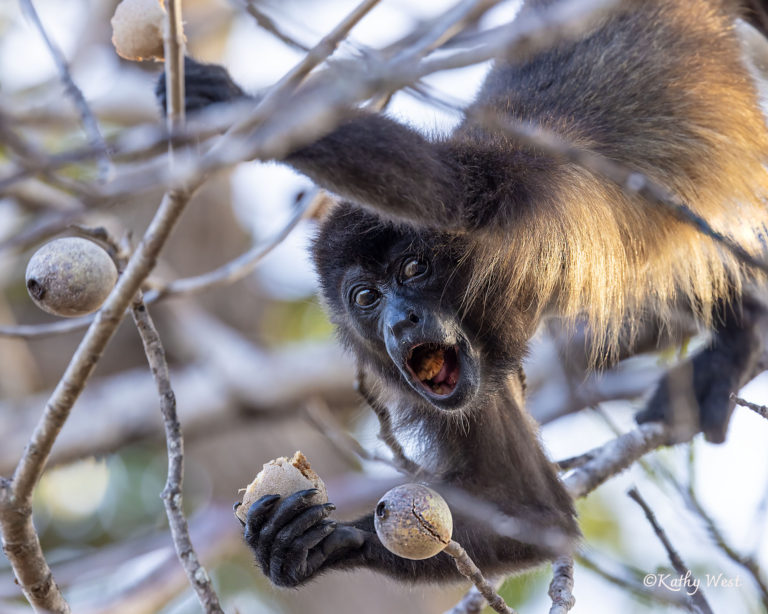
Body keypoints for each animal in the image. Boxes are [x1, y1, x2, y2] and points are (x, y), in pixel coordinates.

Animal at [157, 0, 768, 589]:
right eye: (366, 298)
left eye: (412, 268)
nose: (400, 322)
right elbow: (534, 512)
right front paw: (308, 546)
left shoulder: (513, 187)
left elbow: (444, 187)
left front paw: (228, 102)